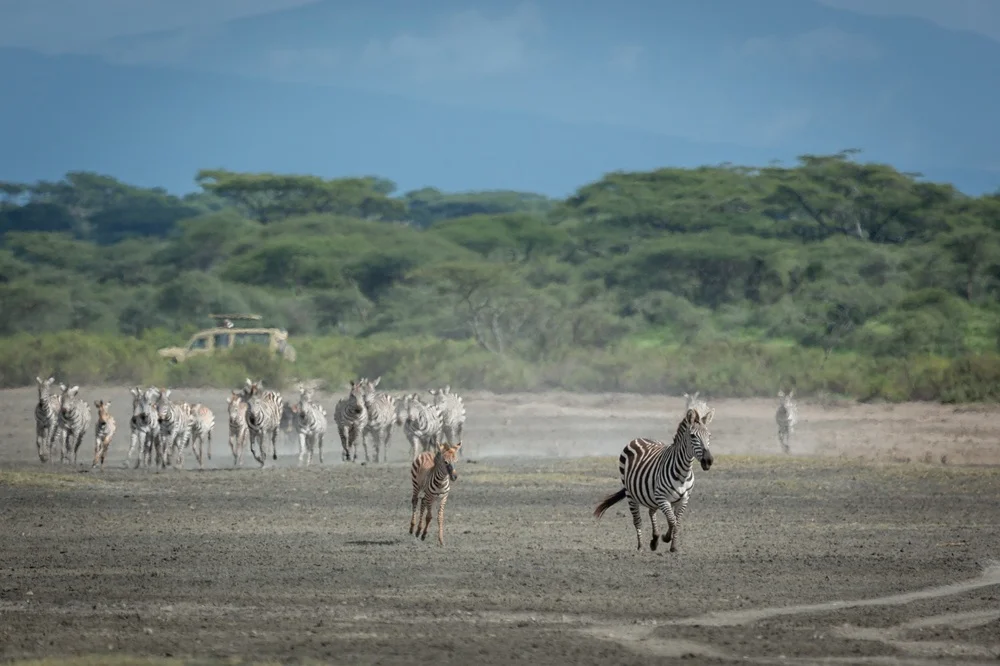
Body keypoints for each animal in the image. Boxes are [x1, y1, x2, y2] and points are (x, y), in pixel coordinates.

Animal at [594, 407, 715, 553]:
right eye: (692, 436)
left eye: (709, 436)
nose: (708, 461)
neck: (683, 472)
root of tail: (639, 438)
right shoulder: (662, 497)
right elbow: (672, 521)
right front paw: (666, 538)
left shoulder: (684, 499)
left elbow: (677, 522)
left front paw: (673, 547)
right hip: (630, 493)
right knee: (637, 520)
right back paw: (641, 546)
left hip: (652, 496)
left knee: (651, 512)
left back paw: (654, 540)